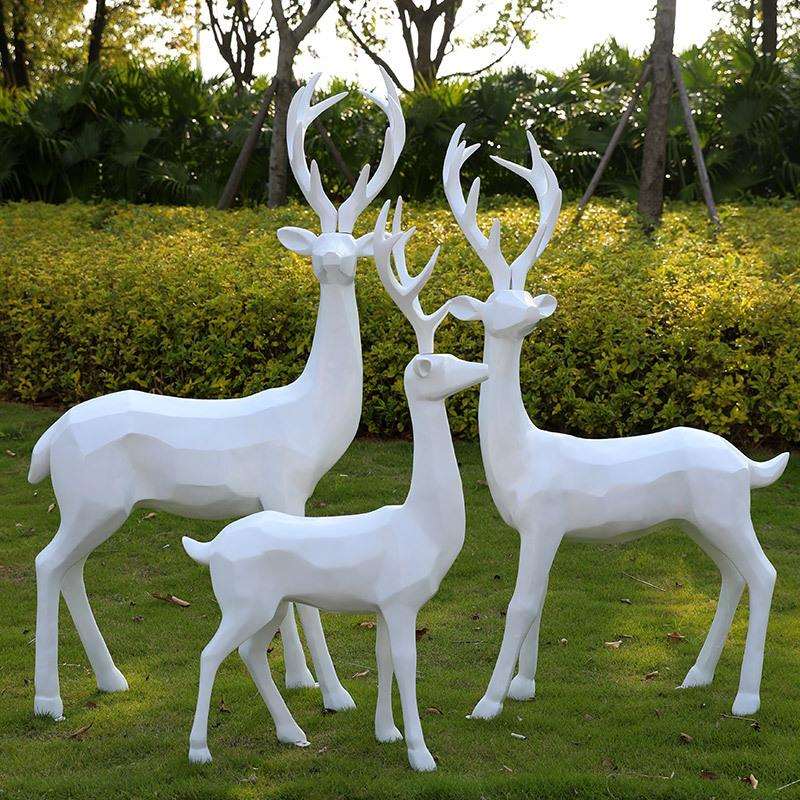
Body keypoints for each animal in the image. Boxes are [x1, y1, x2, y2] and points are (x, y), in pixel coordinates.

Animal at [26, 69, 405, 721]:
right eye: (318, 247)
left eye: (354, 246)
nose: (333, 263)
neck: (311, 415)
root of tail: (49, 439)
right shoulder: (285, 487)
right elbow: (302, 595)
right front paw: (334, 694)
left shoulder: (275, 500)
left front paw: (301, 681)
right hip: (91, 498)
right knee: (47, 564)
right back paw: (49, 700)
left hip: (92, 503)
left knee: (70, 569)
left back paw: (111, 680)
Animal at [181, 199, 488, 771]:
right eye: (435, 366)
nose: (482, 369)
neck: (421, 524)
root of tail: (207, 548)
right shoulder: (402, 601)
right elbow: (407, 666)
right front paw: (420, 754)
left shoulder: (384, 605)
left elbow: (384, 659)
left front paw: (386, 733)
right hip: (243, 602)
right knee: (212, 652)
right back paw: (200, 750)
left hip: (271, 604)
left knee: (251, 653)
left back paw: (292, 733)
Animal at [443, 123, 790, 721]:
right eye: (493, 305)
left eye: (522, 297)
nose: (530, 314)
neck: (521, 455)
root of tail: (747, 465)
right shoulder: (540, 529)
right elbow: (539, 601)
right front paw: (523, 686)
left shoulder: (543, 521)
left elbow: (521, 604)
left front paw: (487, 703)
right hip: (700, 520)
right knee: (732, 576)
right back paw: (696, 677)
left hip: (726, 510)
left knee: (764, 573)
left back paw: (746, 698)